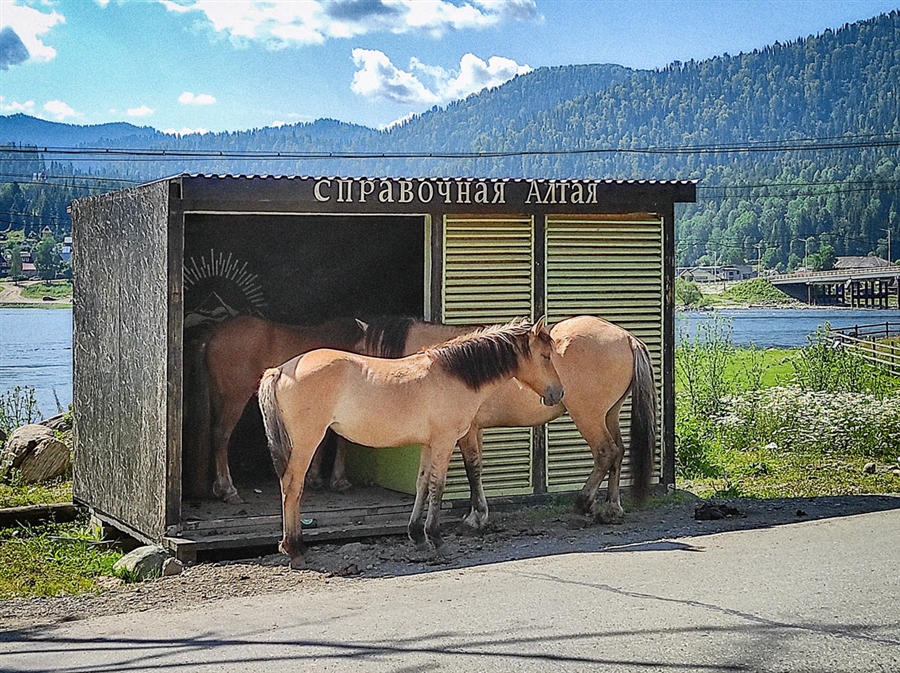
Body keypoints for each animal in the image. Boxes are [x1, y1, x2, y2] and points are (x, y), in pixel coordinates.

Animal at [256, 320, 564, 568]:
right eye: (545, 356)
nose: (558, 393)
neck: (454, 373)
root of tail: (279, 370)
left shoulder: (429, 444)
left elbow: (422, 485)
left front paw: (418, 536)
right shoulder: (445, 441)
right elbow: (438, 487)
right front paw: (436, 539)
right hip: (306, 443)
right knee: (292, 486)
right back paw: (295, 549)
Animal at [356, 314, 652, 524]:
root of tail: (627, 337)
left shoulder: (465, 431)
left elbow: (472, 468)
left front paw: (476, 517)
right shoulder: (474, 430)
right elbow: (476, 467)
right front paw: (477, 513)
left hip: (589, 416)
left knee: (606, 452)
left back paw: (583, 503)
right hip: (610, 414)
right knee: (618, 453)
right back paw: (611, 508)